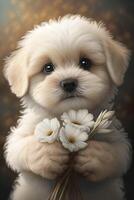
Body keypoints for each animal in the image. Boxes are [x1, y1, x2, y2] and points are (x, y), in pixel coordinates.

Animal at [3, 14, 131, 199]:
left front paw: (94, 155)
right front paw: (47, 154)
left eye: (85, 63)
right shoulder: (23, 132)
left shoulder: (114, 133)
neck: (66, 115)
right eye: (48, 68)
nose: (69, 83)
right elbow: (17, 148)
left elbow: (119, 153)